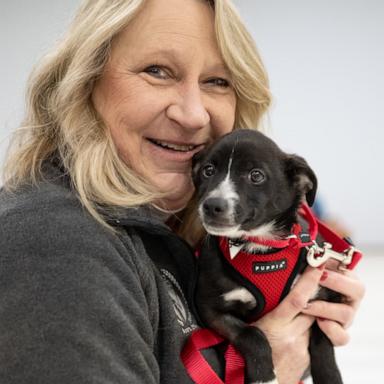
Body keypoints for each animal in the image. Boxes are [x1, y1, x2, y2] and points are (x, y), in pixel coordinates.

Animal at [194, 130, 344, 384]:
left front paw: (330, 377)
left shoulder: (322, 301)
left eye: (256, 175)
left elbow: (322, 343)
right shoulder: (211, 309)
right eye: (208, 170)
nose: (212, 205)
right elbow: (251, 334)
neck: (261, 246)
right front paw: (264, 376)